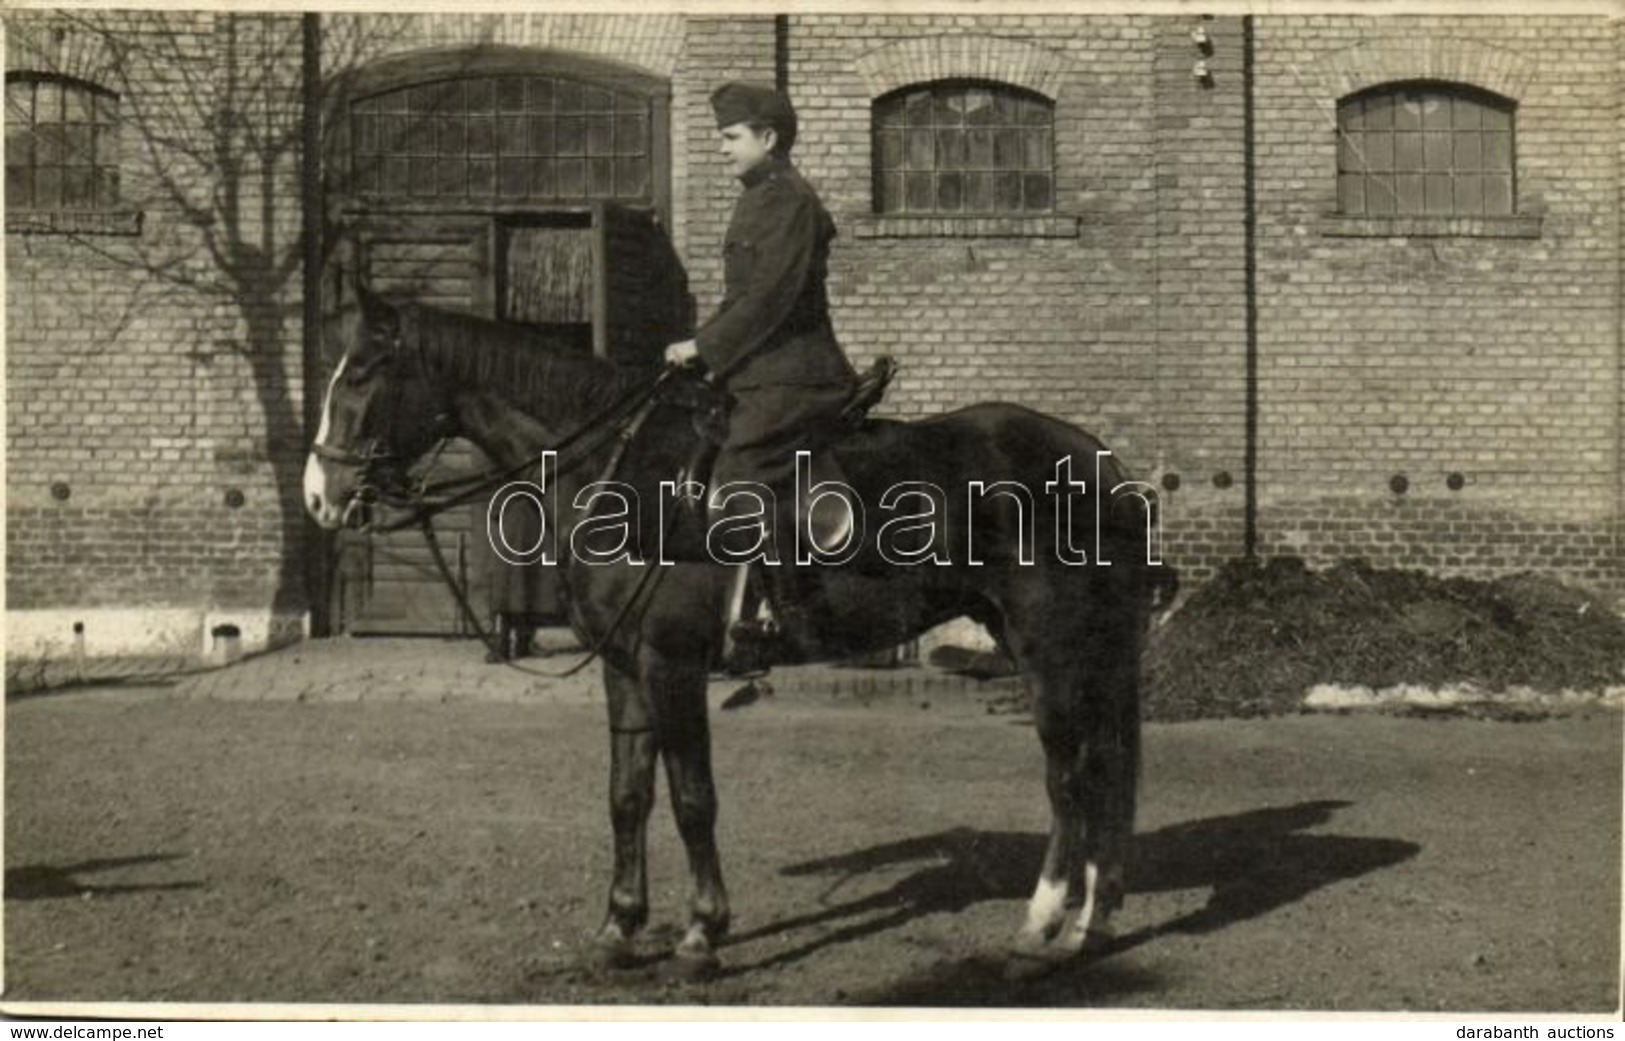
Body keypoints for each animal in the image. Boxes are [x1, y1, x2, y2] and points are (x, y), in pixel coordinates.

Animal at [302, 279, 1170, 980]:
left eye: (364, 372)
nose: (319, 494)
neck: (619, 471)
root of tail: (1100, 463)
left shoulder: (672, 664)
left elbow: (692, 798)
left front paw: (700, 934)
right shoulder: (624, 665)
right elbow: (626, 795)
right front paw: (619, 928)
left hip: (1049, 649)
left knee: (1070, 778)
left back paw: (1038, 930)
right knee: (1101, 773)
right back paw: (1089, 926)